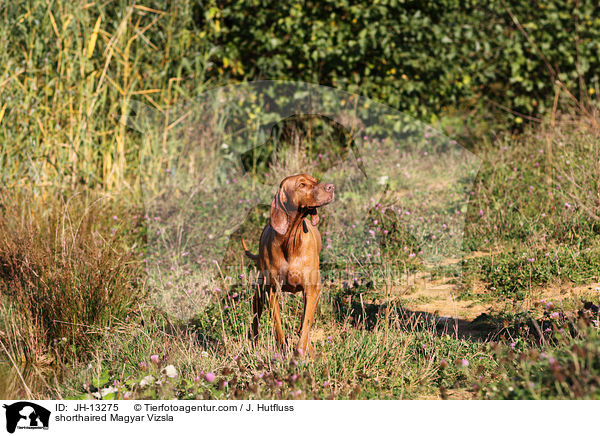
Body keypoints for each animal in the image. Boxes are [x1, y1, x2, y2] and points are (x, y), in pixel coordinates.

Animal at [241, 174, 336, 358]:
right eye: (302, 184)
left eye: (314, 180)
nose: (331, 187)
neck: (291, 240)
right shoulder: (272, 291)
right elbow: (277, 325)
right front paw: (283, 350)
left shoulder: (312, 290)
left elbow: (305, 325)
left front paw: (300, 353)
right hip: (260, 292)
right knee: (255, 320)